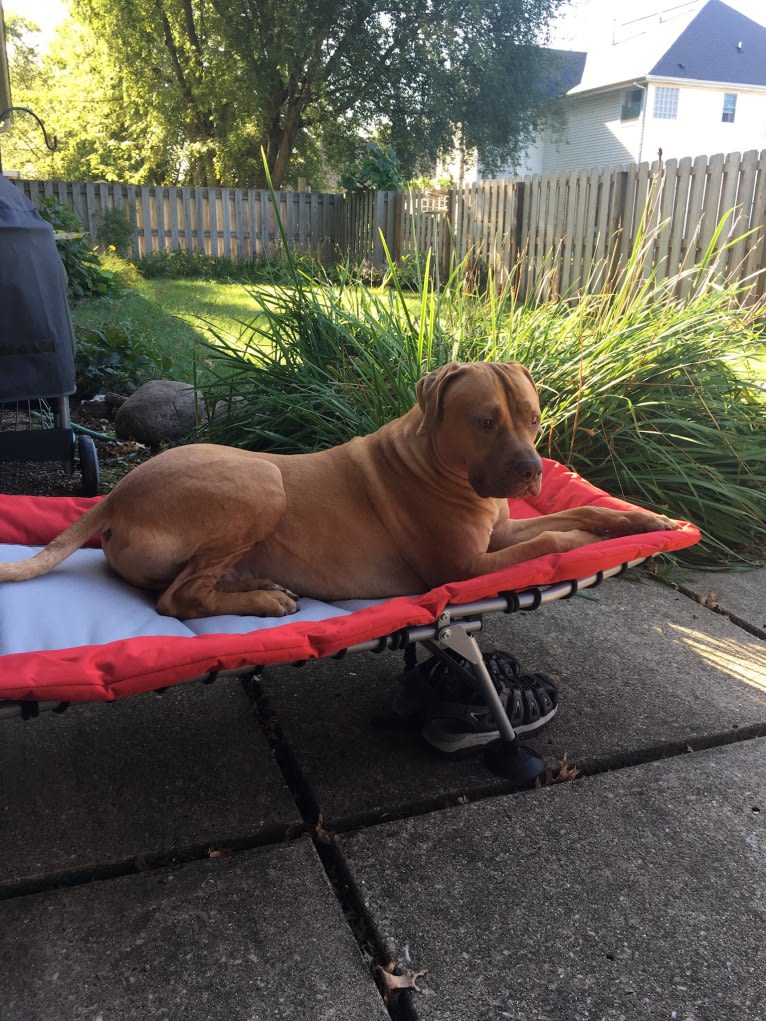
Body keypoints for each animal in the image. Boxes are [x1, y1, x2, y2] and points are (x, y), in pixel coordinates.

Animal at [0, 363, 674, 616]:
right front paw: (577, 545)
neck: (436, 460)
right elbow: (550, 541)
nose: (532, 470)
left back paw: (257, 583)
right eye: (485, 422)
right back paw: (260, 601)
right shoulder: (461, 566)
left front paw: (645, 523)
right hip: (261, 481)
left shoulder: (500, 528)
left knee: (188, 585)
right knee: (177, 600)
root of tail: (116, 495)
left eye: (533, 418)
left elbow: (581, 510)